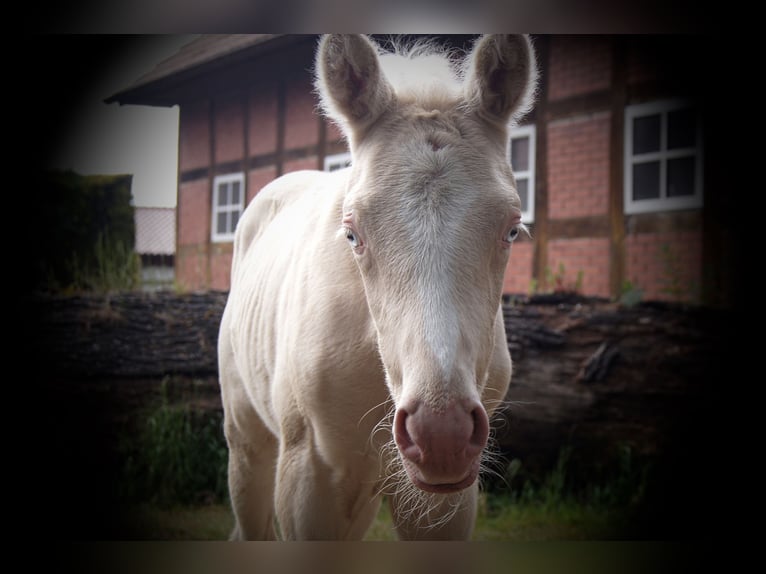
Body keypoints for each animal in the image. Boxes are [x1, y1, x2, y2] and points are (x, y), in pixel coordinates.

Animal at [219, 35, 536, 540]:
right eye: (352, 234)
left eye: (511, 229)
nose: (440, 433)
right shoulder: (309, 479)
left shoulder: (441, 504)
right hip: (249, 444)